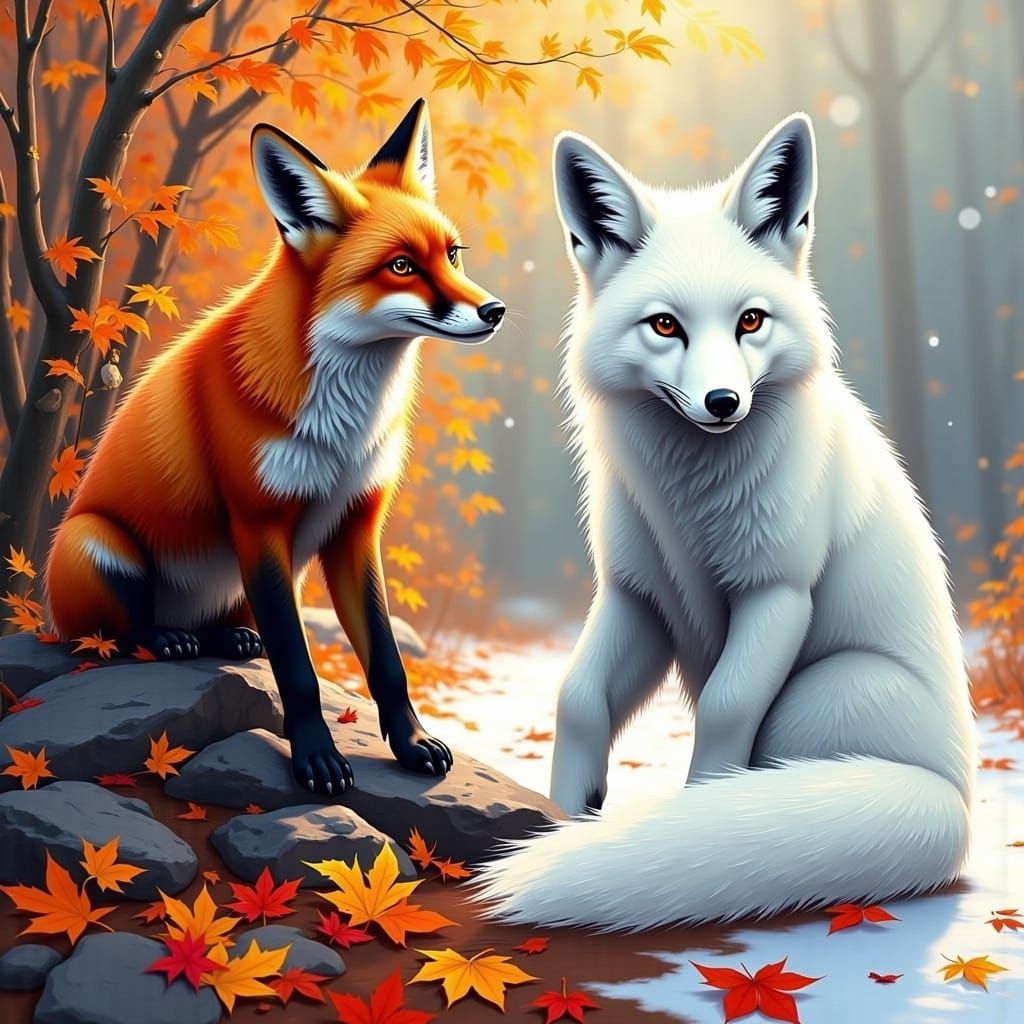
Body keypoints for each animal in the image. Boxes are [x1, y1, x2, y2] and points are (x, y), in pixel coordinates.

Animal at [44, 100, 506, 796]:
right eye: (401, 266)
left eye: (452, 254)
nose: (495, 310)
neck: (343, 427)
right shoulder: (259, 523)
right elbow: (297, 666)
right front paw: (316, 759)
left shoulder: (357, 524)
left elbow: (387, 661)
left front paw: (411, 743)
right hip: (96, 543)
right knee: (112, 637)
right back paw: (165, 639)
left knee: (220, 630)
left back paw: (226, 640)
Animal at [475, 114, 976, 931]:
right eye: (665, 326)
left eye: (750, 321)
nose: (721, 403)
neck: (692, 506)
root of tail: (956, 804)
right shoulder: (639, 596)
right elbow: (576, 699)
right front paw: (570, 813)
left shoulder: (777, 595)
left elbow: (724, 708)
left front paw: (698, 815)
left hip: (817, 695)